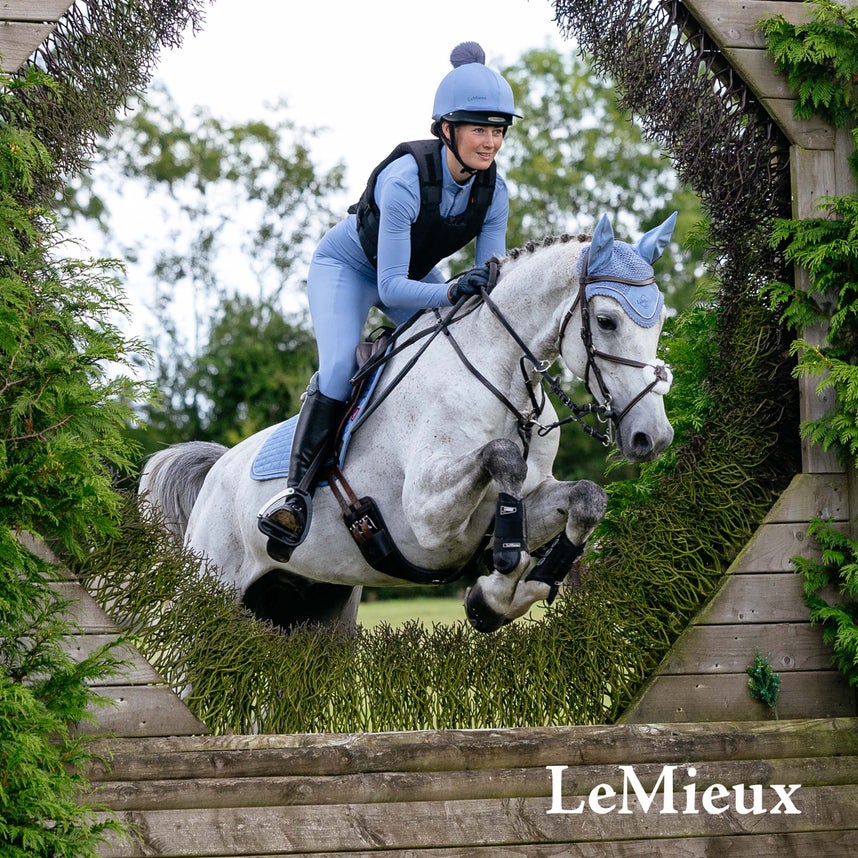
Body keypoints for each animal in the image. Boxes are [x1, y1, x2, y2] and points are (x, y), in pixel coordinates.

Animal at [139, 212, 676, 634]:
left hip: (316, 610)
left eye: (659, 323)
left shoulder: (534, 495)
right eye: (606, 321)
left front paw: (504, 596)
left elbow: (587, 497)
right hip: (213, 589)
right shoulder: (426, 515)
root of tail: (216, 470)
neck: (501, 373)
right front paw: (500, 576)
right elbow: (501, 456)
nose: (652, 437)